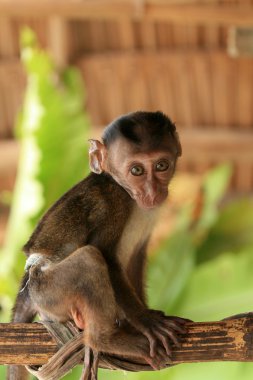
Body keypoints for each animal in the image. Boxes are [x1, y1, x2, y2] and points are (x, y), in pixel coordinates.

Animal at [8, 111, 186, 378]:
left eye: (161, 166)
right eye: (136, 170)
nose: (152, 191)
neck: (128, 194)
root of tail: (27, 284)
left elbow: (137, 255)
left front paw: (140, 318)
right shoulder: (114, 200)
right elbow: (106, 254)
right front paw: (146, 321)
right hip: (46, 291)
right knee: (90, 259)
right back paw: (105, 340)